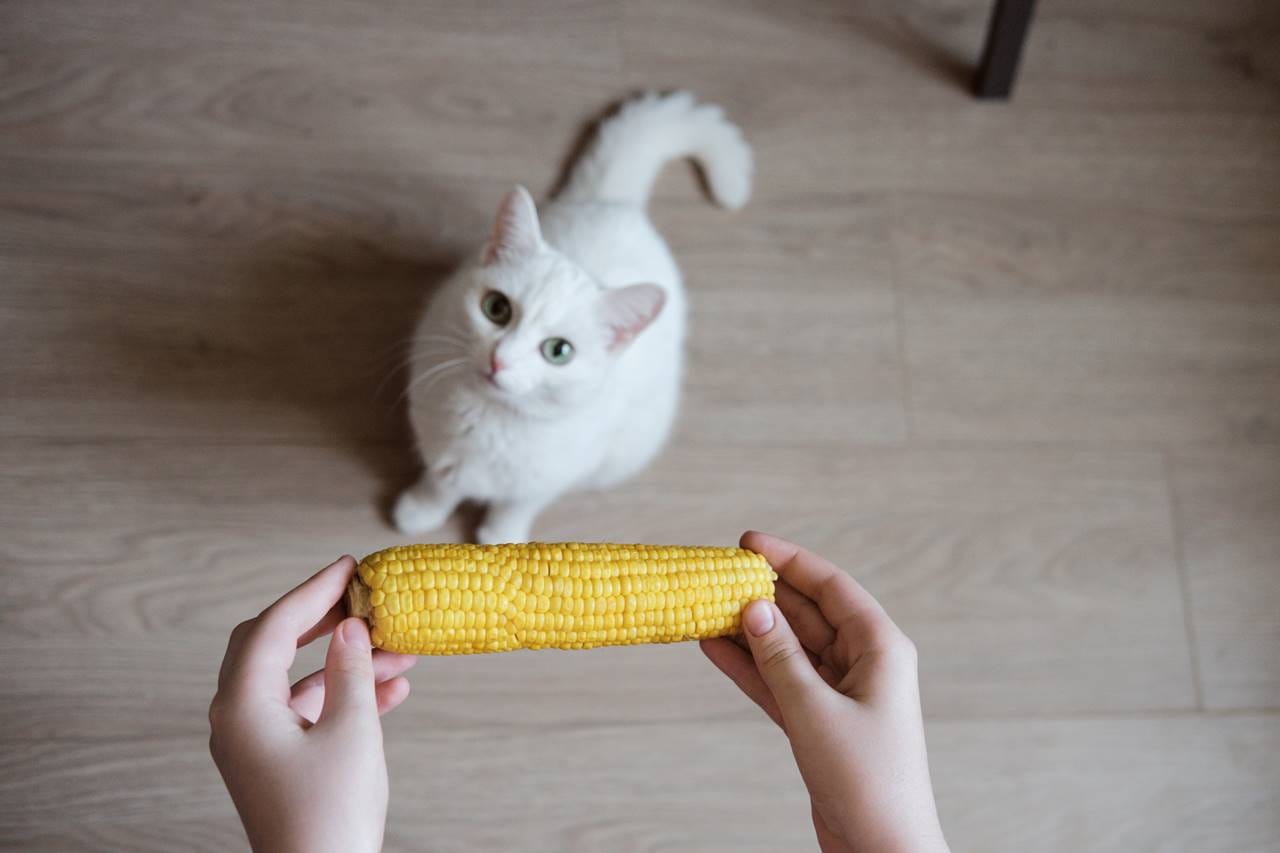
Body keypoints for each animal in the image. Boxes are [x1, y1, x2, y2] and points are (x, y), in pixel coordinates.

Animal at [389, 89, 747, 540]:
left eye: (558, 351)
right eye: (496, 308)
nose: (500, 359)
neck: (492, 421)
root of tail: (614, 204)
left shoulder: (555, 475)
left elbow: (518, 504)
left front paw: (501, 538)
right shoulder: (440, 447)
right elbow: (441, 483)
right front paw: (421, 510)